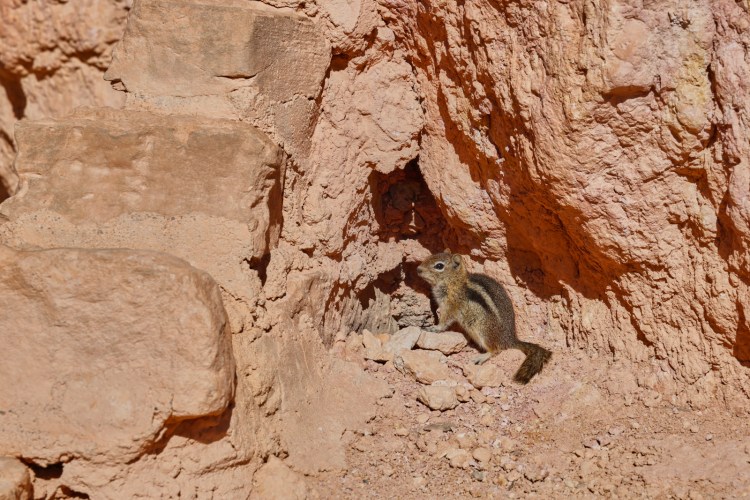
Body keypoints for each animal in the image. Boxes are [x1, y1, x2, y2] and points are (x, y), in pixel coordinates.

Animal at [417, 250, 552, 384]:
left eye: (439, 266)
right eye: (431, 256)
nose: (418, 269)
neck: (455, 282)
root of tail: (510, 339)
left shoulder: (451, 306)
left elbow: (445, 320)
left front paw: (435, 328)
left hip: (484, 332)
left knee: (496, 349)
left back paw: (481, 357)